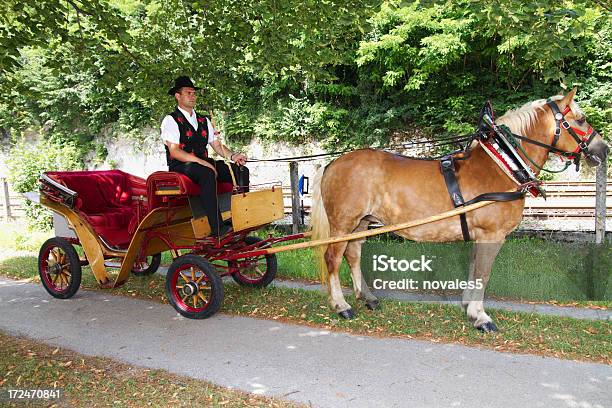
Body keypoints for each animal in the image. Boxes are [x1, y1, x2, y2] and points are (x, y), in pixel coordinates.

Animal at [314, 89, 608, 332]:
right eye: (581, 120)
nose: (603, 149)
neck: (503, 164)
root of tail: (333, 163)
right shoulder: (492, 234)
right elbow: (483, 273)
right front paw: (481, 317)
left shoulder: (481, 235)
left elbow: (475, 269)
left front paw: (470, 308)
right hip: (343, 222)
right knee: (333, 258)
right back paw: (341, 306)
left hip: (361, 223)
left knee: (353, 253)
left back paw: (367, 297)